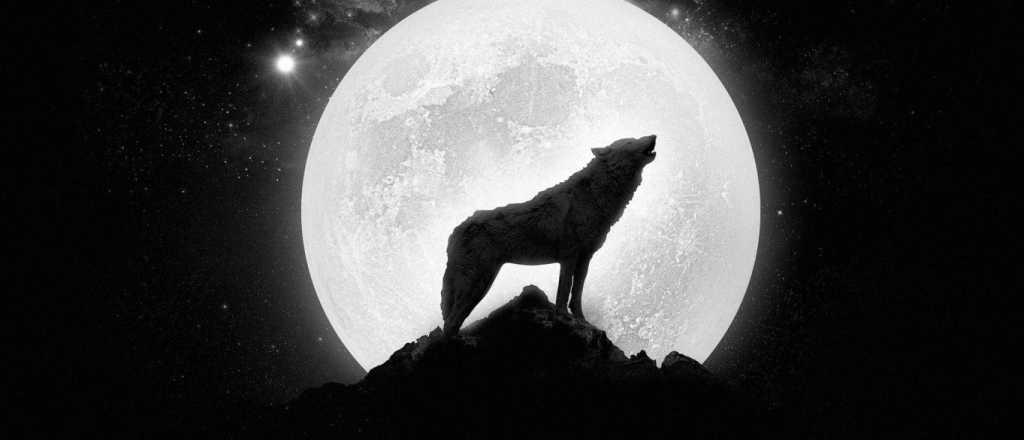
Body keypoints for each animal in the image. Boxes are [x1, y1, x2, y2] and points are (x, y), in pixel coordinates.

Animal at [440, 135, 657, 336]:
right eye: (631, 141)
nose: (654, 136)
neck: (594, 195)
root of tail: (454, 232)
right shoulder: (569, 257)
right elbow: (564, 291)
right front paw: (565, 319)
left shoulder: (585, 258)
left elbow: (576, 294)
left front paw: (583, 322)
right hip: (477, 284)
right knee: (450, 324)